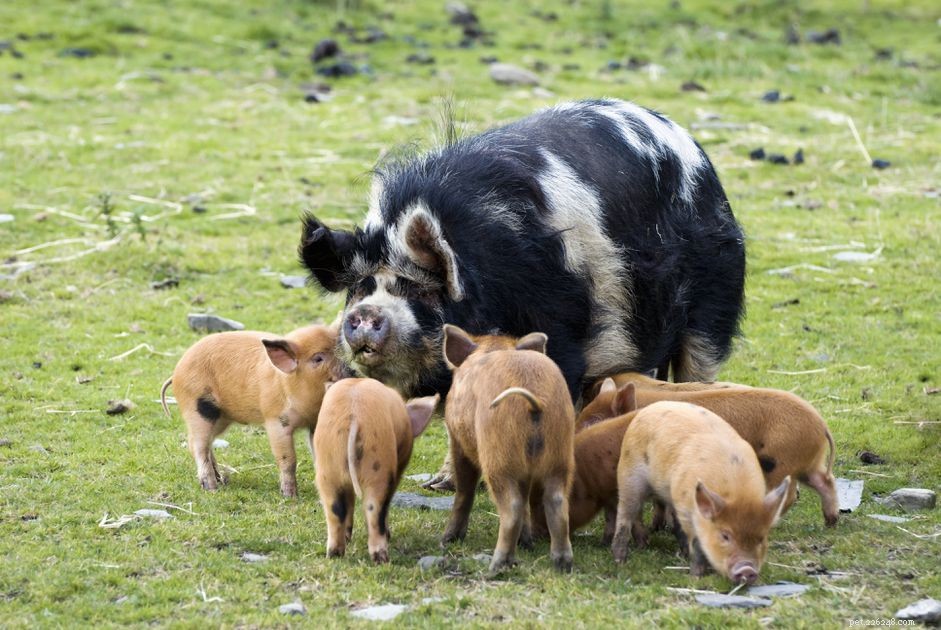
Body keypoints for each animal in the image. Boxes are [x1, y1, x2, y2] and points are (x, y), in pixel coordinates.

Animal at [160, 323, 342, 497]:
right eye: (318, 358)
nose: (346, 369)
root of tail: (175, 373)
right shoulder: (275, 420)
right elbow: (287, 459)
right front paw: (290, 496)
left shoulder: (314, 422)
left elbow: (319, 454)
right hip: (198, 408)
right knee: (197, 445)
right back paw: (211, 488)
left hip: (220, 417)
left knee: (206, 442)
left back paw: (221, 480)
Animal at [313, 378, 438, 563]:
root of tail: (353, 415)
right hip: (379, 467)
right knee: (375, 509)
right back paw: (382, 558)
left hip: (327, 467)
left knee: (335, 509)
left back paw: (334, 554)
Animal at [441, 325, 575, 573]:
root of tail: (535, 402)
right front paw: (527, 544)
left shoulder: (457, 440)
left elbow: (464, 490)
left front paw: (447, 540)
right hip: (560, 454)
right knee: (556, 502)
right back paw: (562, 565)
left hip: (498, 456)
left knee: (512, 507)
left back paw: (497, 566)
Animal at [580, 376, 839, 526]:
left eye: (594, 420)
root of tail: (821, 425)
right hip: (807, 464)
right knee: (825, 481)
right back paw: (831, 520)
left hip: (779, 463)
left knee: (789, 494)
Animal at [611, 401, 791, 584]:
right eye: (725, 536)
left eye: (761, 538)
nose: (747, 569)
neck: (737, 492)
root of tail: (651, 407)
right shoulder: (687, 511)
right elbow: (696, 544)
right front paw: (696, 577)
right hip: (628, 476)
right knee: (626, 516)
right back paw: (621, 561)